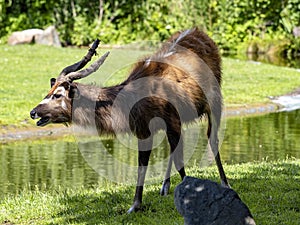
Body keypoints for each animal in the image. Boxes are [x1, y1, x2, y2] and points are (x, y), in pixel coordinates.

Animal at [29, 28, 229, 213]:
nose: (33, 112)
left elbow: (177, 161)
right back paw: (164, 187)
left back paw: (225, 183)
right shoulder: (145, 130)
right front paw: (135, 205)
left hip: (214, 103)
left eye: (57, 94)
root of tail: (199, 31)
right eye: (48, 92)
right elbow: (143, 165)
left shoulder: (171, 121)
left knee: (213, 139)